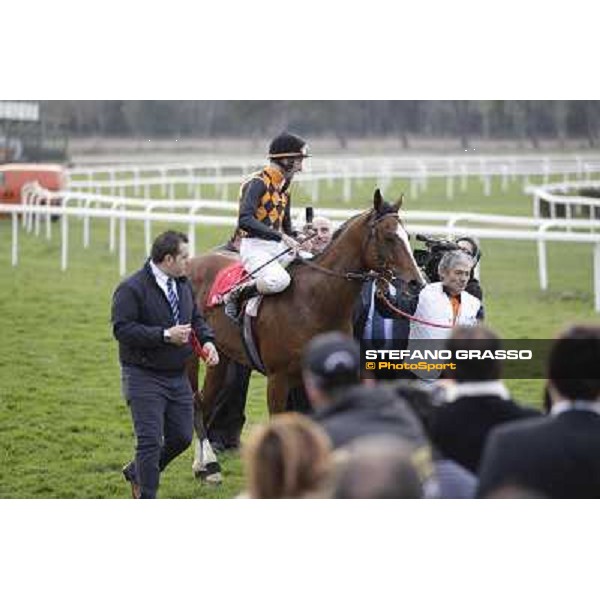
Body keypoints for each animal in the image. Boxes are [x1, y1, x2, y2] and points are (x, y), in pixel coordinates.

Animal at [185, 188, 424, 478]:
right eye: (389, 236)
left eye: (408, 236)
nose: (417, 282)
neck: (315, 300)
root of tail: (190, 263)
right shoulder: (277, 378)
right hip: (190, 353)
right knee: (195, 401)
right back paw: (208, 464)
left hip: (219, 356)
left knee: (204, 401)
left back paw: (203, 464)